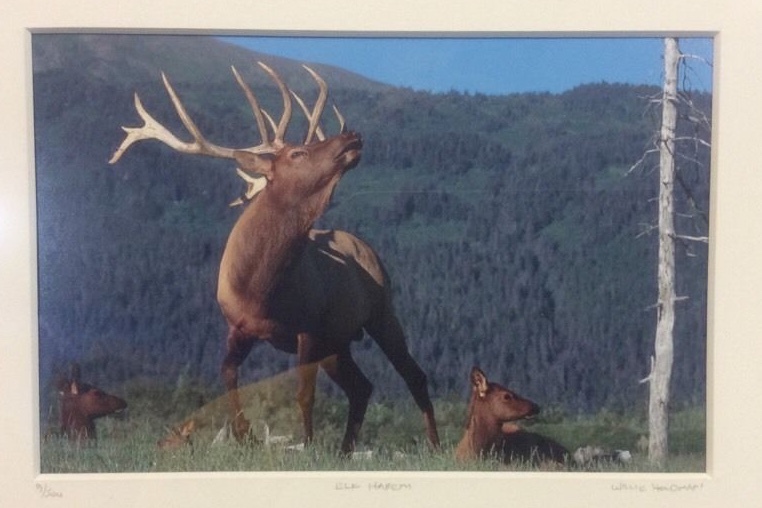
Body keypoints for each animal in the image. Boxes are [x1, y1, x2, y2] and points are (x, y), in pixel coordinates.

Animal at [109, 61, 440, 455]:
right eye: (298, 153)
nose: (352, 135)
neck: (259, 288)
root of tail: (368, 249)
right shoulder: (240, 327)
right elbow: (229, 375)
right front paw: (244, 435)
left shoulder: (307, 327)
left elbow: (304, 394)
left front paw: (307, 444)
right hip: (339, 340)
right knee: (363, 386)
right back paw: (345, 449)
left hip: (381, 312)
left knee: (413, 375)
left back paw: (435, 444)